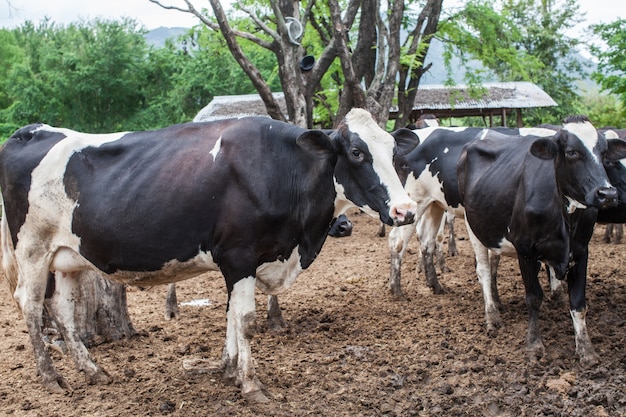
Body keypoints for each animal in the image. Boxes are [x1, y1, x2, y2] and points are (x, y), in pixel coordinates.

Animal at [1, 109, 420, 402]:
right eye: (357, 152)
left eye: (395, 153)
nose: (405, 210)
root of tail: (32, 130)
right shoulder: (240, 256)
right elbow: (246, 320)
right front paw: (251, 386)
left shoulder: (240, 263)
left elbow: (231, 316)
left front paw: (228, 370)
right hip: (32, 248)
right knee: (31, 304)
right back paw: (51, 378)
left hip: (67, 257)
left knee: (64, 310)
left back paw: (91, 370)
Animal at [454, 114, 624, 364]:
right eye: (572, 152)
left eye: (604, 154)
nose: (608, 194)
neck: (566, 215)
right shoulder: (525, 250)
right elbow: (534, 298)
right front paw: (534, 345)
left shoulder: (581, 250)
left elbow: (579, 303)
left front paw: (586, 349)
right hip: (472, 225)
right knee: (483, 270)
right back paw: (492, 316)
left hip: (493, 230)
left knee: (493, 263)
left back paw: (497, 302)